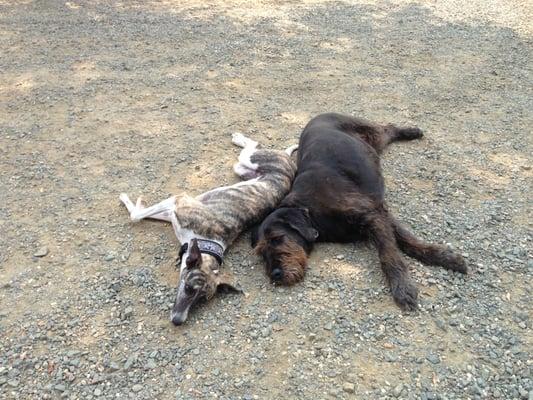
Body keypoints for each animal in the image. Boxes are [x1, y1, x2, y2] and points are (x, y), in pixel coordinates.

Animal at [251, 112, 464, 310]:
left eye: (278, 239)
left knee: (388, 127)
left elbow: (390, 253)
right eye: (261, 252)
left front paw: (404, 285)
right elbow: (403, 239)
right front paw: (442, 257)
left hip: (373, 133)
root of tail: (319, 115)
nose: (275, 274)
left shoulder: (372, 214)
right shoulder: (379, 212)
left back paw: (411, 131)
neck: (310, 209)